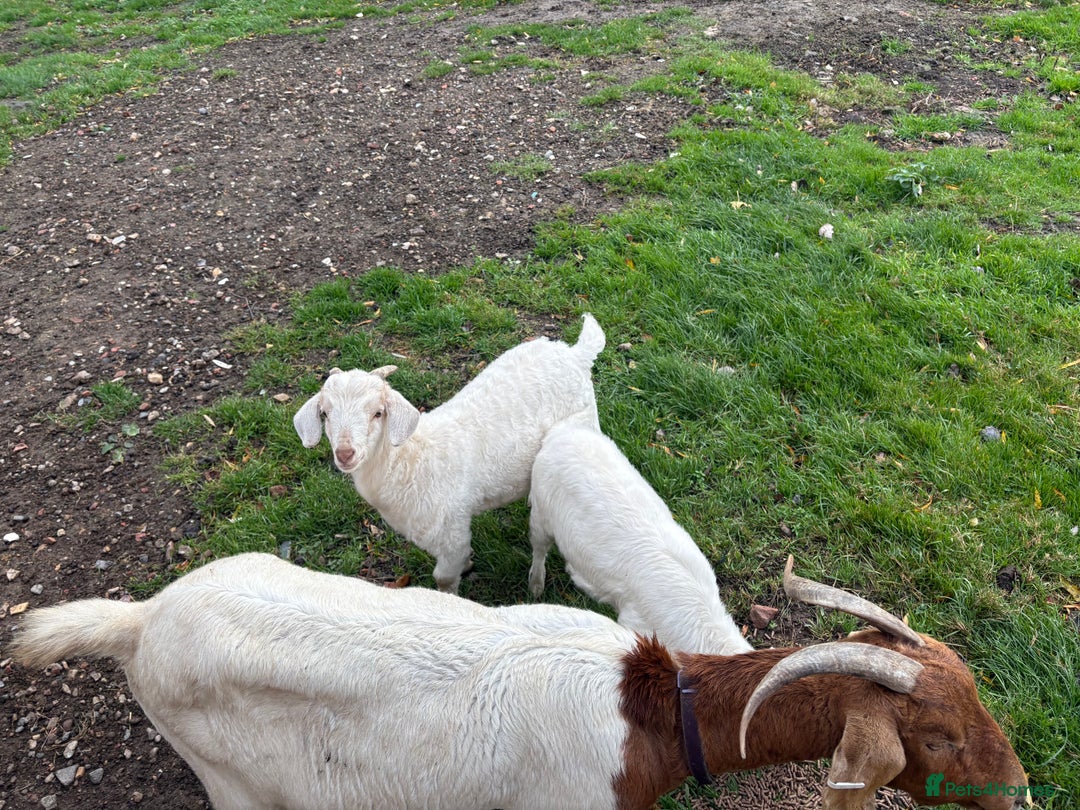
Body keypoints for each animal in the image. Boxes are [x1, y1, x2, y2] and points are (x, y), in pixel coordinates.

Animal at [11, 553, 1028, 810]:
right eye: (934, 737)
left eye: (977, 693)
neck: (647, 712)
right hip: (231, 782)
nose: (1017, 793)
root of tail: (142, 620)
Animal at [292, 313, 605, 593]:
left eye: (378, 413)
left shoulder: (451, 532)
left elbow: (443, 578)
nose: (346, 453)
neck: (410, 461)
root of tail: (577, 354)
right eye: (325, 413)